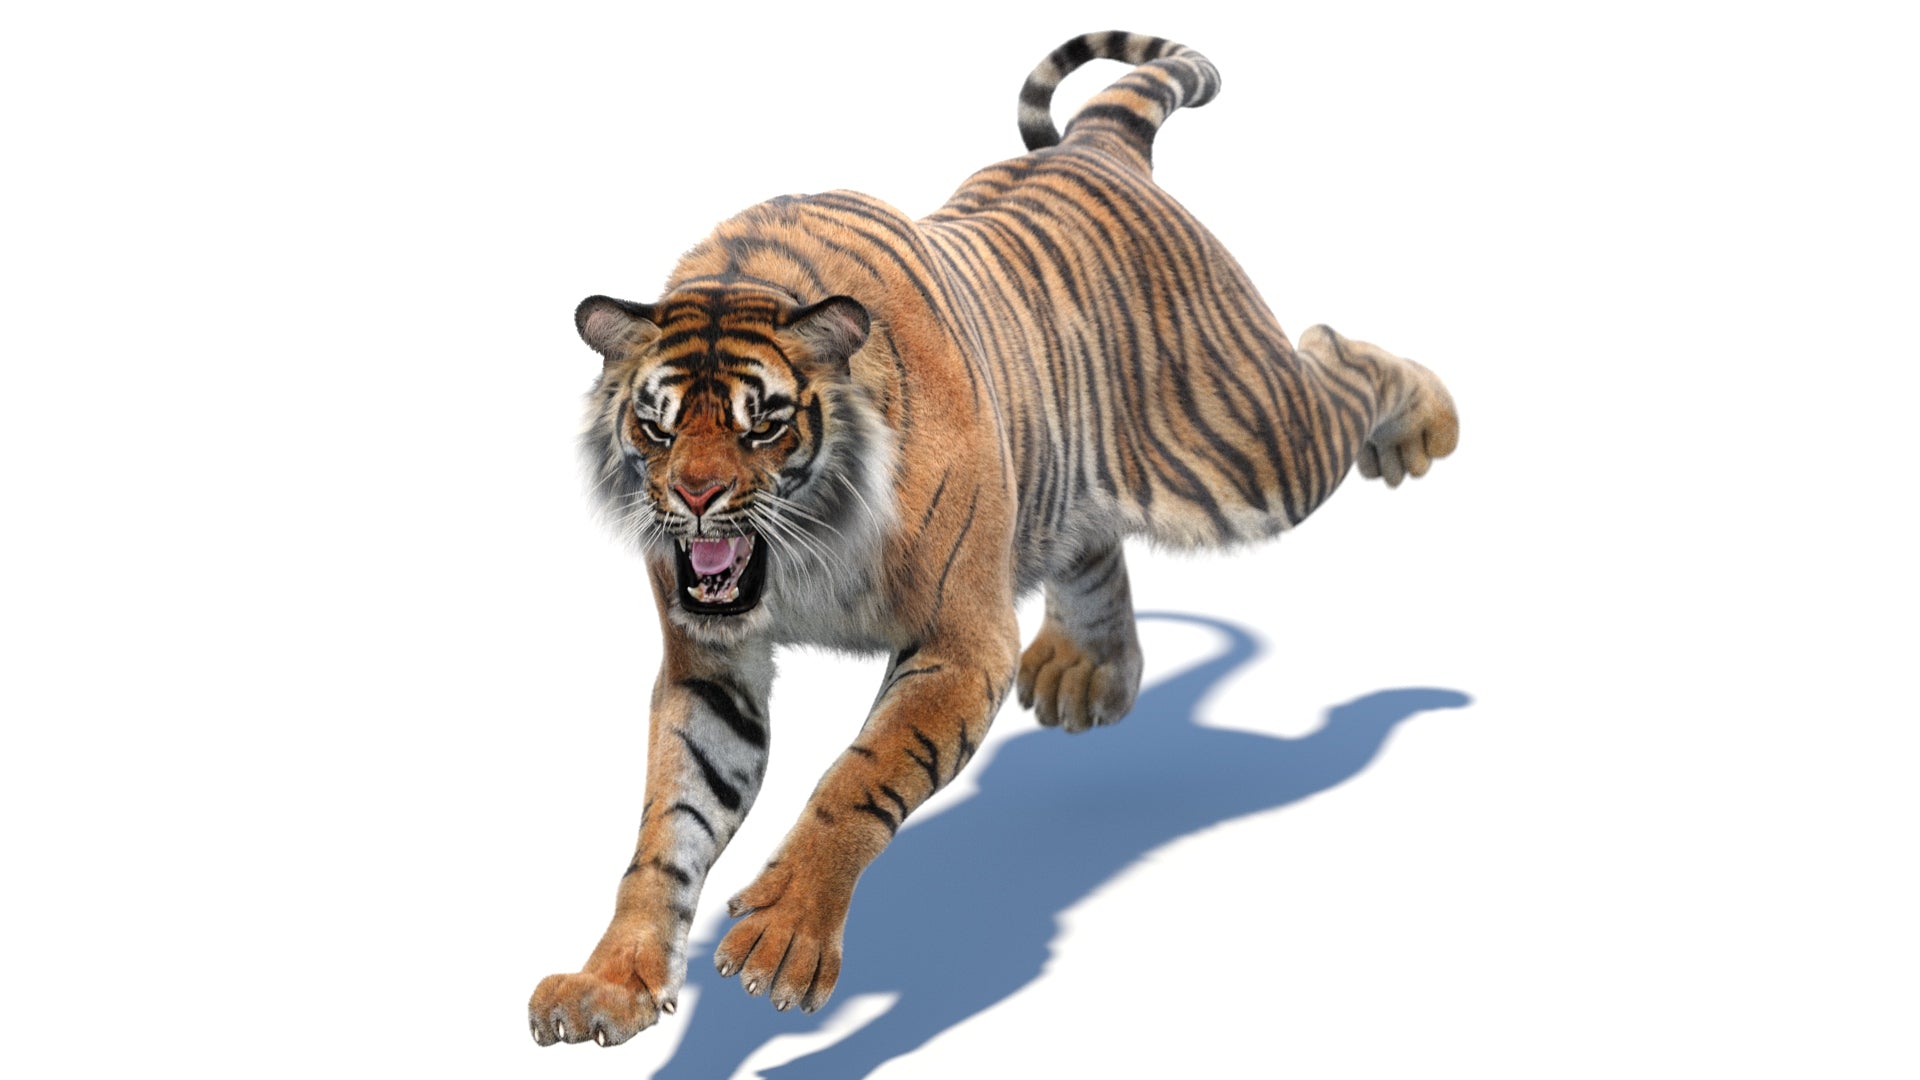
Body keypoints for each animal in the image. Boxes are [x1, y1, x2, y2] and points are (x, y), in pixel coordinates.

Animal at [530, 30, 1459, 1048]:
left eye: (760, 424)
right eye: (655, 425)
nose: (693, 498)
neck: (805, 548)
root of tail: (1095, 142)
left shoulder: (963, 641)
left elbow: (858, 779)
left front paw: (784, 937)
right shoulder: (711, 665)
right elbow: (669, 827)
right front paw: (610, 980)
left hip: (1250, 448)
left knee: (1337, 359)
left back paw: (1425, 427)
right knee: (1093, 539)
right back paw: (1089, 672)